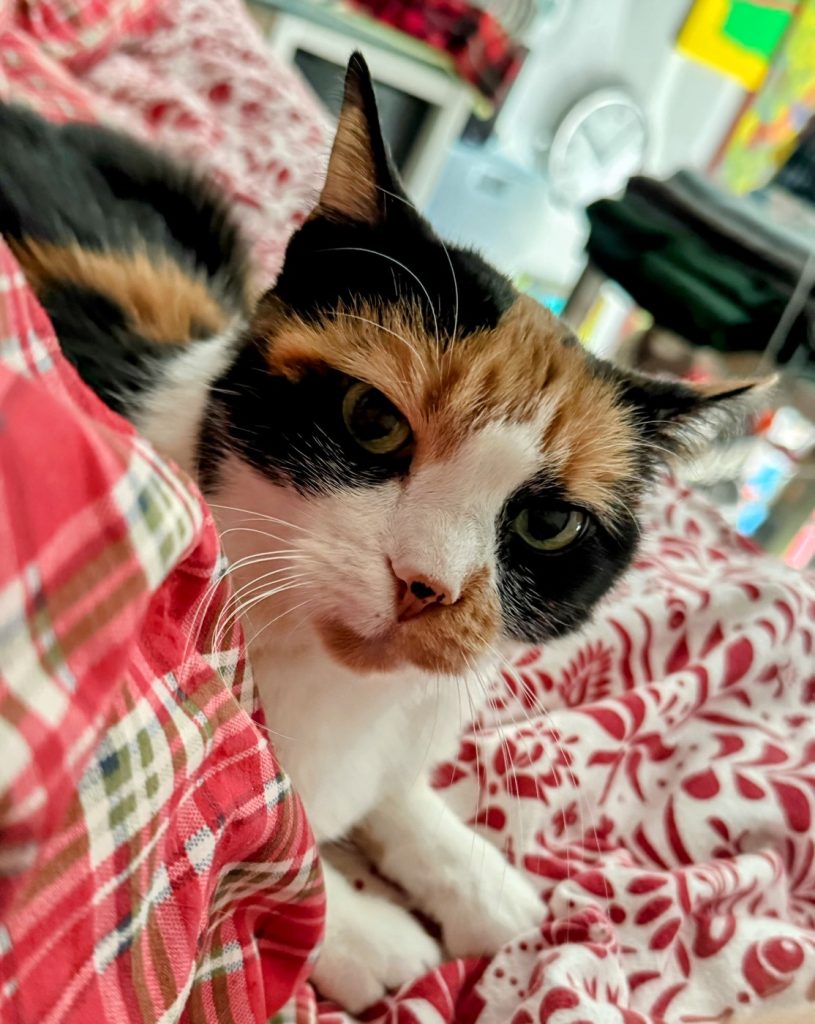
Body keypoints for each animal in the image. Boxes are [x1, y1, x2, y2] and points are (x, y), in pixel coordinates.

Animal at [0, 54, 765, 1013]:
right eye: (372, 419)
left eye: (548, 522)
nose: (425, 584)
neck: (322, 679)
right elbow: (264, 871)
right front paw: (375, 934)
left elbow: (396, 785)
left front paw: (476, 876)